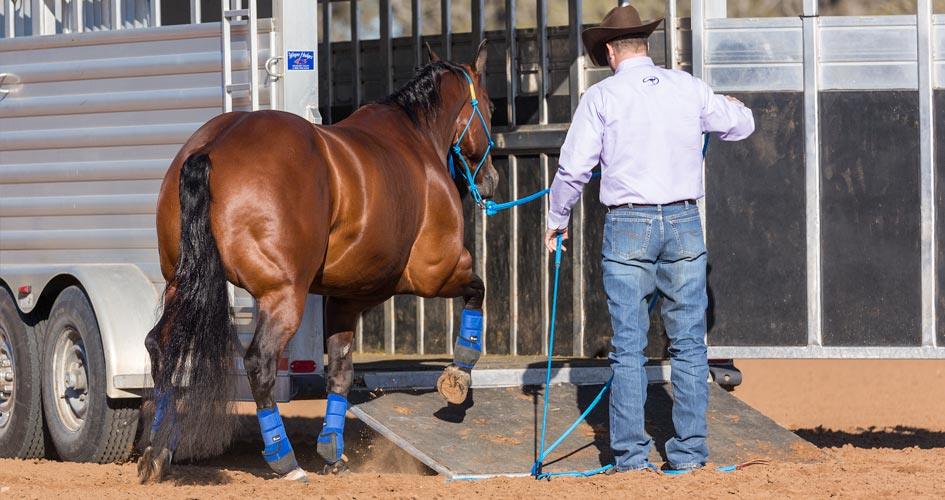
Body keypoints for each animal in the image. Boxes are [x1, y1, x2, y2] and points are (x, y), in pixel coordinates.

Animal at [136, 41, 498, 483]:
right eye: (491, 107)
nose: (491, 181)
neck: (417, 142)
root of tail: (211, 148)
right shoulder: (436, 272)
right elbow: (477, 291)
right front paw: (459, 373)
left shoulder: (345, 298)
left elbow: (340, 373)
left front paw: (332, 449)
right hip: (283, 296)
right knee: (259, 363)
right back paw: (284, 461)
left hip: (180, 283)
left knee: (162, 347)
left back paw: (158, 451)